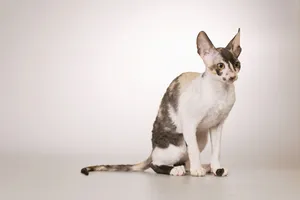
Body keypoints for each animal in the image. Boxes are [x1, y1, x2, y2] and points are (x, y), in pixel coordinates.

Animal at [81, 28, 241, 177]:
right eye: (220, 66)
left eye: (237, 64)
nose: (233, 76)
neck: (221, 92)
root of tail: (152, 150)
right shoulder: (190, 123)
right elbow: (194, 150)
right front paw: (197, 171)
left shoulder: (217, 124)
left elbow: (217, 150)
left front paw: (216, 168)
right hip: (180, 143)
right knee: (156, 163)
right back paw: (178, 169)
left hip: (200, 137)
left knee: (186, 160)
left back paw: (203, 167)